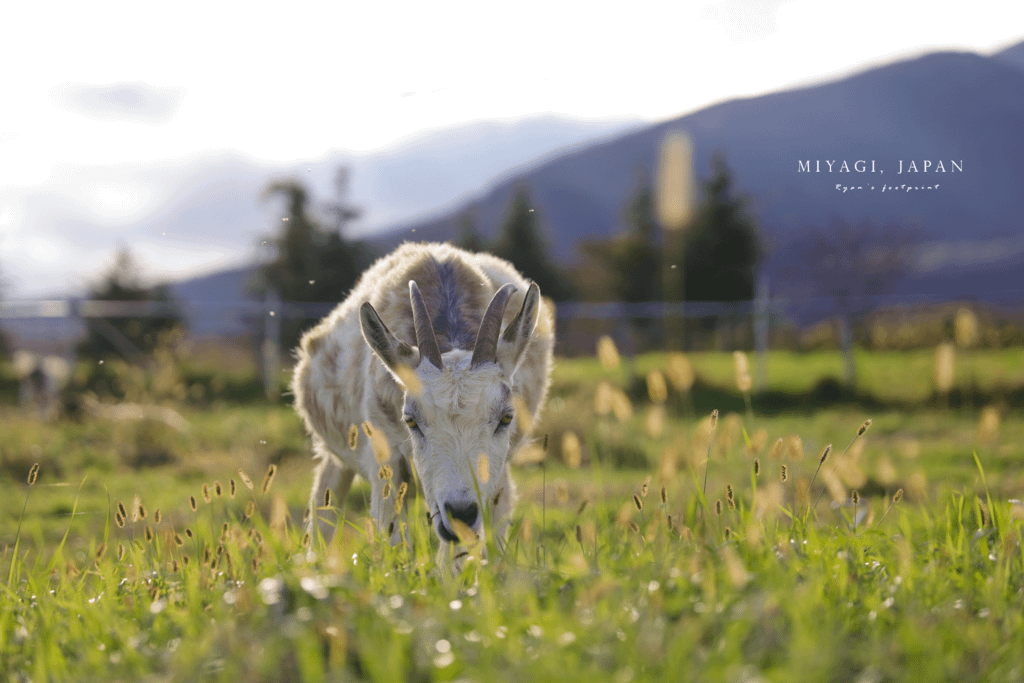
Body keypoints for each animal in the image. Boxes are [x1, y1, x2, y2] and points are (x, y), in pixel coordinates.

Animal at [292, 242, 557, 569]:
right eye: (411, 420)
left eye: (506, 418)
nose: (460, 514)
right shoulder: (386, 462)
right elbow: (395, 545)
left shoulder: (496, 476)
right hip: (339, 458)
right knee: (324, 511)